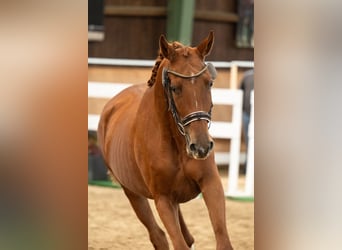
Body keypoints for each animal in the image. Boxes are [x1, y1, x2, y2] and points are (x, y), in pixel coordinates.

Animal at [97, 31, 234, 250]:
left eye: (209, 83)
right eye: (175, 88)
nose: (201, 147)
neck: (177, 143)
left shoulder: (211, 184)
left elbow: (222, 240)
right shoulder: (163, 200)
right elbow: (178, 243)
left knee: (186, 236)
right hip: (133, 194)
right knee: (158, 236)